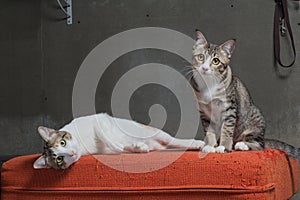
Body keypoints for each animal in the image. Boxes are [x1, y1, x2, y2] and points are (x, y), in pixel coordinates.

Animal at [34, 112, 205, 169]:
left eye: (62, 143)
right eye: (59, 159)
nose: (71, 152)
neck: (82, 146)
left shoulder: (99, 120)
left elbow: (105, 136)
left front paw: (118, 144)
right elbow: (121, 147)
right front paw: (135, 147)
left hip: (159, 134)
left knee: (177, 141)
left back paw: (198, 144)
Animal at [189, 30, 298, 158]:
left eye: (216, 61)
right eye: (201, 57)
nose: (205, 68)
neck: (209, 85)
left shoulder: (230, 108)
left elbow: (227, 129)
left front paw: (224, 147)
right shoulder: (204, 112)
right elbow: (209, 130)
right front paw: (210, 146)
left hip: (255, 120)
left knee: (260, 145)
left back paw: (242, 145)